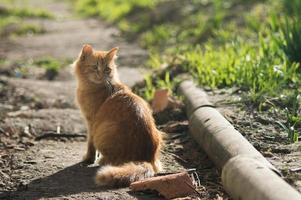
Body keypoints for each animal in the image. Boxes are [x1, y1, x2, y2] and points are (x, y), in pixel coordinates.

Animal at [73, 44, 162, 187]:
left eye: (107, 69)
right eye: (95, 67)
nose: (101, 75)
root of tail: (146, 158)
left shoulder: (91, 123)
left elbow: (90, 145)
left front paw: (89, 159)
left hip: (104, 131)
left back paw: (102, 161)